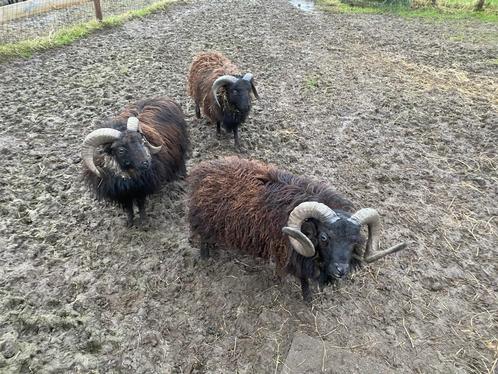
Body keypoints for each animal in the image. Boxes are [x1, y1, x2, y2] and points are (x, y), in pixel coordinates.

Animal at [82, 97, 190, 225]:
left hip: (181, 146)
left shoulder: (142, 187)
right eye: (121, 150)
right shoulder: (122, 193)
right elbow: (128, 207)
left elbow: (141, 204)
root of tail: (161, 98)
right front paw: (129, 222)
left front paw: (143, 222)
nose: (146, 162)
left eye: (142, 141)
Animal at [189, 157, 406, 300]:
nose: (340, 270)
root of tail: (201, 169)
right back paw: (206, 257)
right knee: (203, 238)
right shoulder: (295, 255)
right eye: (324, 237)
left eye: (355, 240)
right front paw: (307, 297)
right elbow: (303, 278)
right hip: (203, 220)